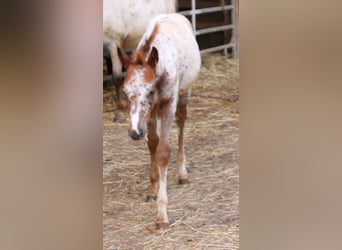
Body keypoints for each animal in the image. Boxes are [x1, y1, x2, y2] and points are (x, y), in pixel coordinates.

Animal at [117, 13, 200, 229]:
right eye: (125, 92)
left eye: (149, 91)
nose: (134, 133)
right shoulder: (151, 109)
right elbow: (153, 143)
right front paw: (152, 190)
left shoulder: (167, 102)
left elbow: (163, 151)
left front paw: (162, 216)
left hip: (185, 92)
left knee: (181, 122)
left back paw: (182, 173)